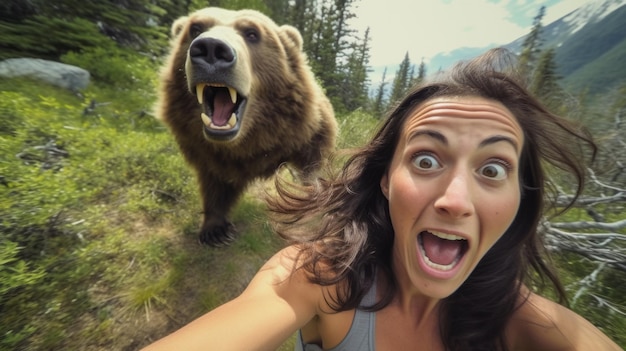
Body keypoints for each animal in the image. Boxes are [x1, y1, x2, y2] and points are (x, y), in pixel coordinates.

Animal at [155, 6, 336, 248]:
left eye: (252, 33)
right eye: (195, 28)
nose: (211, 48)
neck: (251, 138)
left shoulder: (303, 128)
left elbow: (311, 162)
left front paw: (309, 198)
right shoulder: (206, 149)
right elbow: (214, 181)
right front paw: (215, 230)